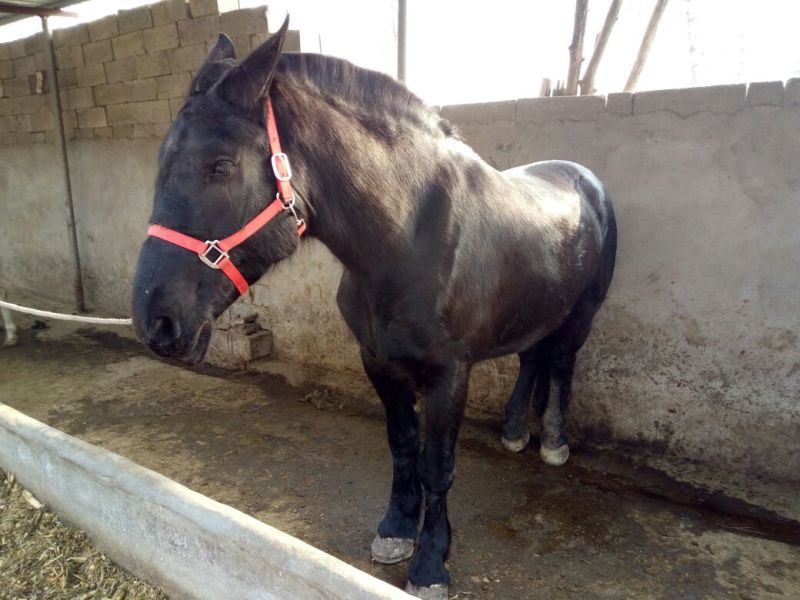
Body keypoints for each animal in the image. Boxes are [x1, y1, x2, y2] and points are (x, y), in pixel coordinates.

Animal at [131, 19, 617, 599]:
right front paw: (396, 531)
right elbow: (402, 445)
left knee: (561, 364)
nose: (155, 320)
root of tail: (582, 178)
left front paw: (430, 563)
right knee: (532, 358)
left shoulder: (450, 374)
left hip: (582, 315)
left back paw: (555, 443)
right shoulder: (378, 361)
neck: (408, 239)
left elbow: (437, 466)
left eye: (221, 166)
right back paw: (518, 431)